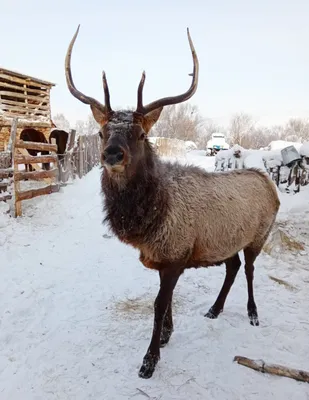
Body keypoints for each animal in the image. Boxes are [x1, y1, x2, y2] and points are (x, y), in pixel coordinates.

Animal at [64, 25, 280, 378]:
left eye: (140, 134)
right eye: (101, 132)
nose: (112, 154)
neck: (150, 220)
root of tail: (268, 181)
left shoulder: (176, 255)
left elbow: (159, 304)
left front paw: (149, 360)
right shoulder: (163, 257)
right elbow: (164, 304)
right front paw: (166, 335)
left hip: (259, 235)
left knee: (248, 269)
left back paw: (252, 312)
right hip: (226, 241)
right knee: (233, 266)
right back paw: (215, 308)